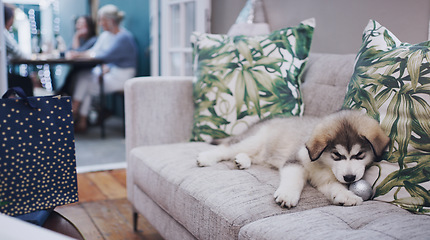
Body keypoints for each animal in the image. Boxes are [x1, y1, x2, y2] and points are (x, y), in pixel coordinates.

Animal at [197, 110, 392, 208]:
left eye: (360, 155)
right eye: (337, 155)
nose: (350, 178)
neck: (323, 164)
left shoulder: (326, 180)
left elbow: (334, 186)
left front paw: (346, 195)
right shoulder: (294, 161)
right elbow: (293, 179)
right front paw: (287, 195)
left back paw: (242, 160)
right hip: (255, 139)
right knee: (227, 148)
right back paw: (206, 157)